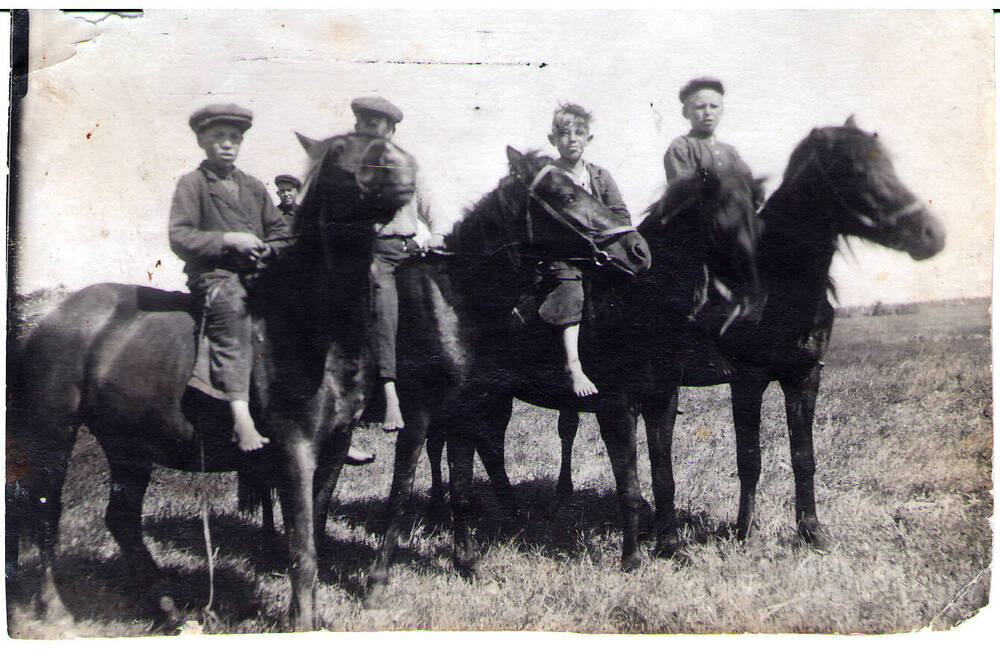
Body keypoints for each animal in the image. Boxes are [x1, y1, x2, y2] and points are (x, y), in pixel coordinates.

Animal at [4, 129, 418, 632]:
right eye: (341, 150)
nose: (401, 172)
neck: (310, 321)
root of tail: (46, 319)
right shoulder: (295, 447)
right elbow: (301, 548)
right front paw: (300, 622)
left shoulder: (335, 447)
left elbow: (313, 535)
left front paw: (312, 616)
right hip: (53, 433)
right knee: (43, 514)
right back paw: (58, 611)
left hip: (128, 445)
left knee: (121, 521)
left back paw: (167, 609)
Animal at [460, 115, 944, 560]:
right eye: (854, 170)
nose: (932, 235)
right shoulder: (747, 379)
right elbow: (748, 459)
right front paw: (744, 532)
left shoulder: (803, 377)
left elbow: (802, 458)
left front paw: (812, 532)